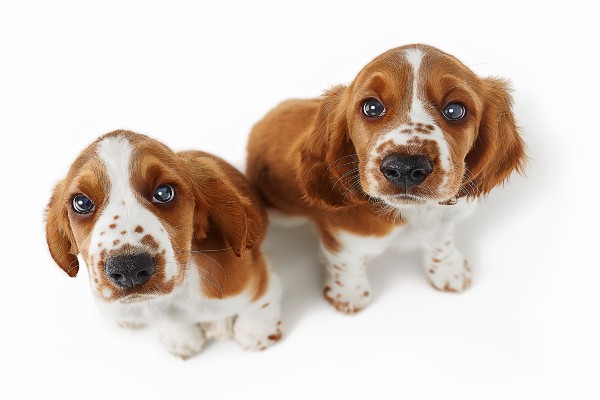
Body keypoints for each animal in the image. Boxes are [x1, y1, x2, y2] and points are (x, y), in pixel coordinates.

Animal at [45, 131, 282, 360]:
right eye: (82, 203)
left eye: (164, 193)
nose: (129, 267)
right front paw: (182, 338)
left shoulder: (254, 276)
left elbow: (260, 301)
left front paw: (256, 332)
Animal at [246, 43, 524, 312]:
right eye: (372, 107)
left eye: (455, 110)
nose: (405, 167)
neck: (413, 213)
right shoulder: (345, 235)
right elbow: (347, 260)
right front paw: (349, 293)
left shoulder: (446, 216)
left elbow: (441, 239)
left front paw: (448, 270)